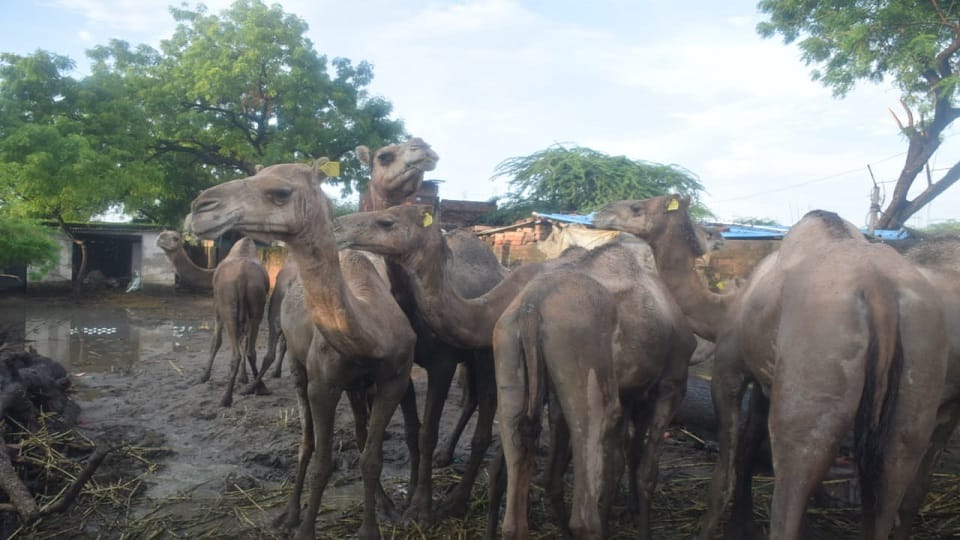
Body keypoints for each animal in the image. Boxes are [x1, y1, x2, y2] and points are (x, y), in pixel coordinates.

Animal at [202, 237, 270, 407]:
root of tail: (242, 278)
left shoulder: (217, 308)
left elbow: (216, 341)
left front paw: (204, 376)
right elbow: (244, 341)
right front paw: (243, 377)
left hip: (228, 309)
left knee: (236, 354)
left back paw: (226, 398)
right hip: (257, 306)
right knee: (250, 349)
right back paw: (261, 387)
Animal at [594, 196, 948, 539]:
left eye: (638, 207)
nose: (600, 213)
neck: (724, 308)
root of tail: (879, 291)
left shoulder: (729, 369)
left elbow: (725, 472)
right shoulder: (766, 381)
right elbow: (750, 449)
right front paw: (742, 527)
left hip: (811, 384)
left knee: (792, 480)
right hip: (917, 383)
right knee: (890, 486)